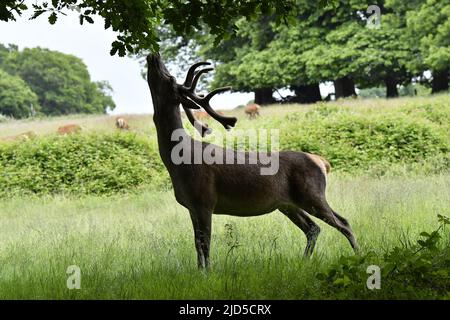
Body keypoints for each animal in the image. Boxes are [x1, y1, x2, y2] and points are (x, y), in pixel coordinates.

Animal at [146, 53, 356, 268]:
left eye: (170, 78)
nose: (154, 55)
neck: (180, 162)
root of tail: (322, 161)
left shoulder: (205, 200)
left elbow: (205, 244)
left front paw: (207, 272)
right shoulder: (191, 206)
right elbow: (197, 244)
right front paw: (199, 271)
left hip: (312, 194)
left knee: (343, 223)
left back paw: (358, 255)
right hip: (288, 204)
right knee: (313, 228)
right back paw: (304, 261)